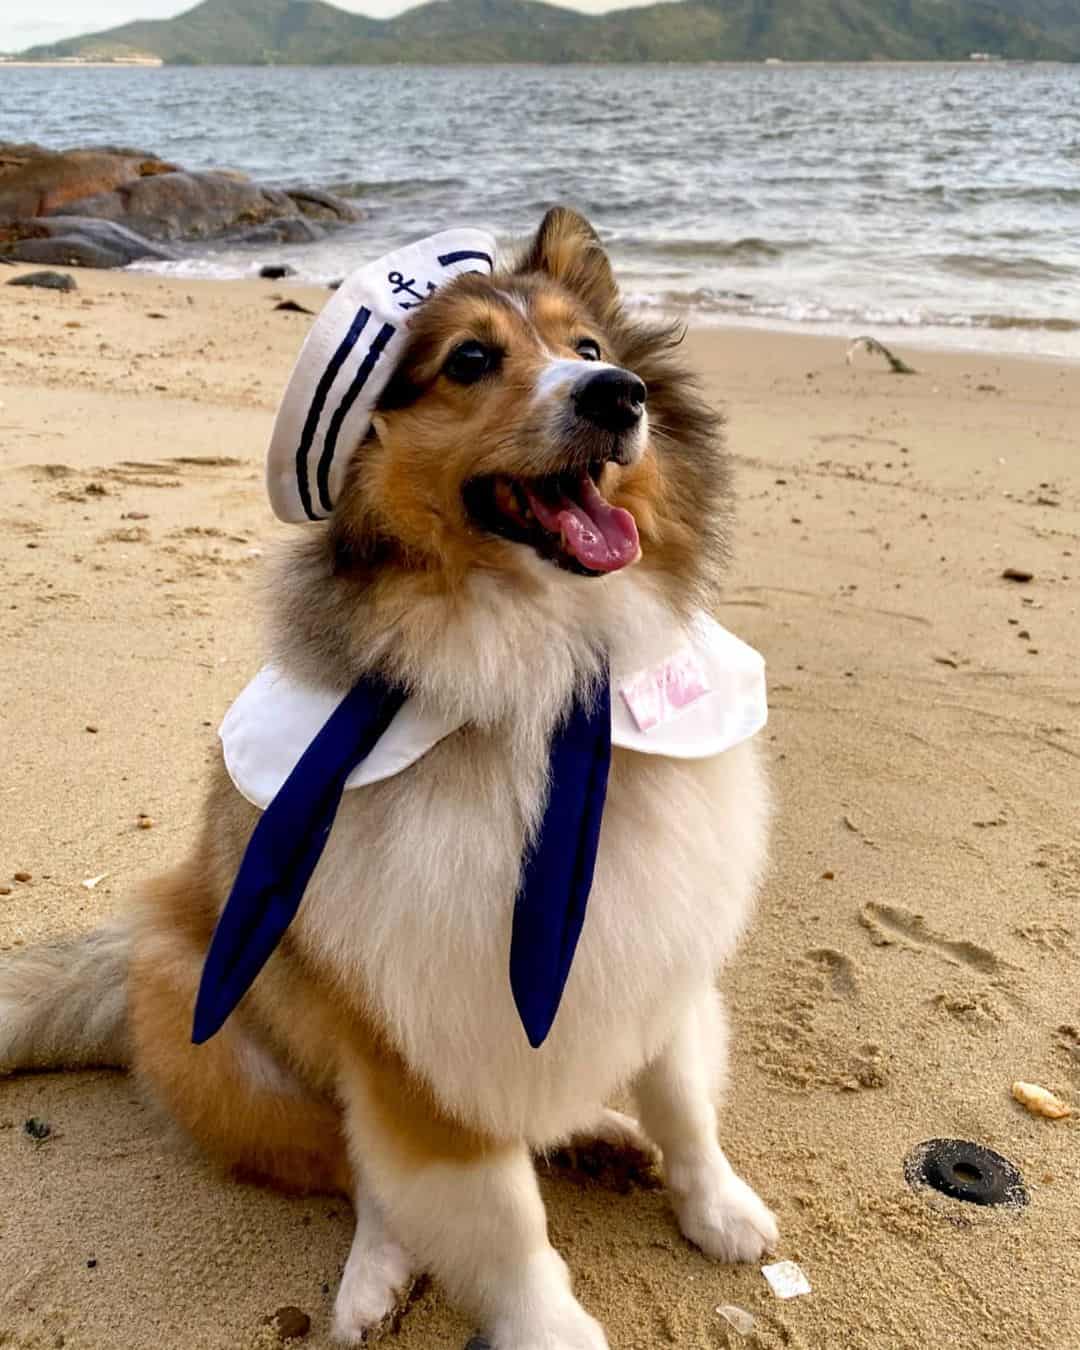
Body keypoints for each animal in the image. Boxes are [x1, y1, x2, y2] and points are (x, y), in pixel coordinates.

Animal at [0, 205, 777, 1344]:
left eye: (587, 346)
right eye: (470, 361)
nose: (616, 395)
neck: (538, 678)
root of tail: (125, 950)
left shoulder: (658, 946)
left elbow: (682, 1101)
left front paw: (717, 1205)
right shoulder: (418, 1033)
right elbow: (496, 1216)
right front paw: (549, 1326)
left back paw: (598, 1131)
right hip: (236, 1044)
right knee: (362, 1173)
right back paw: (377, 1271)